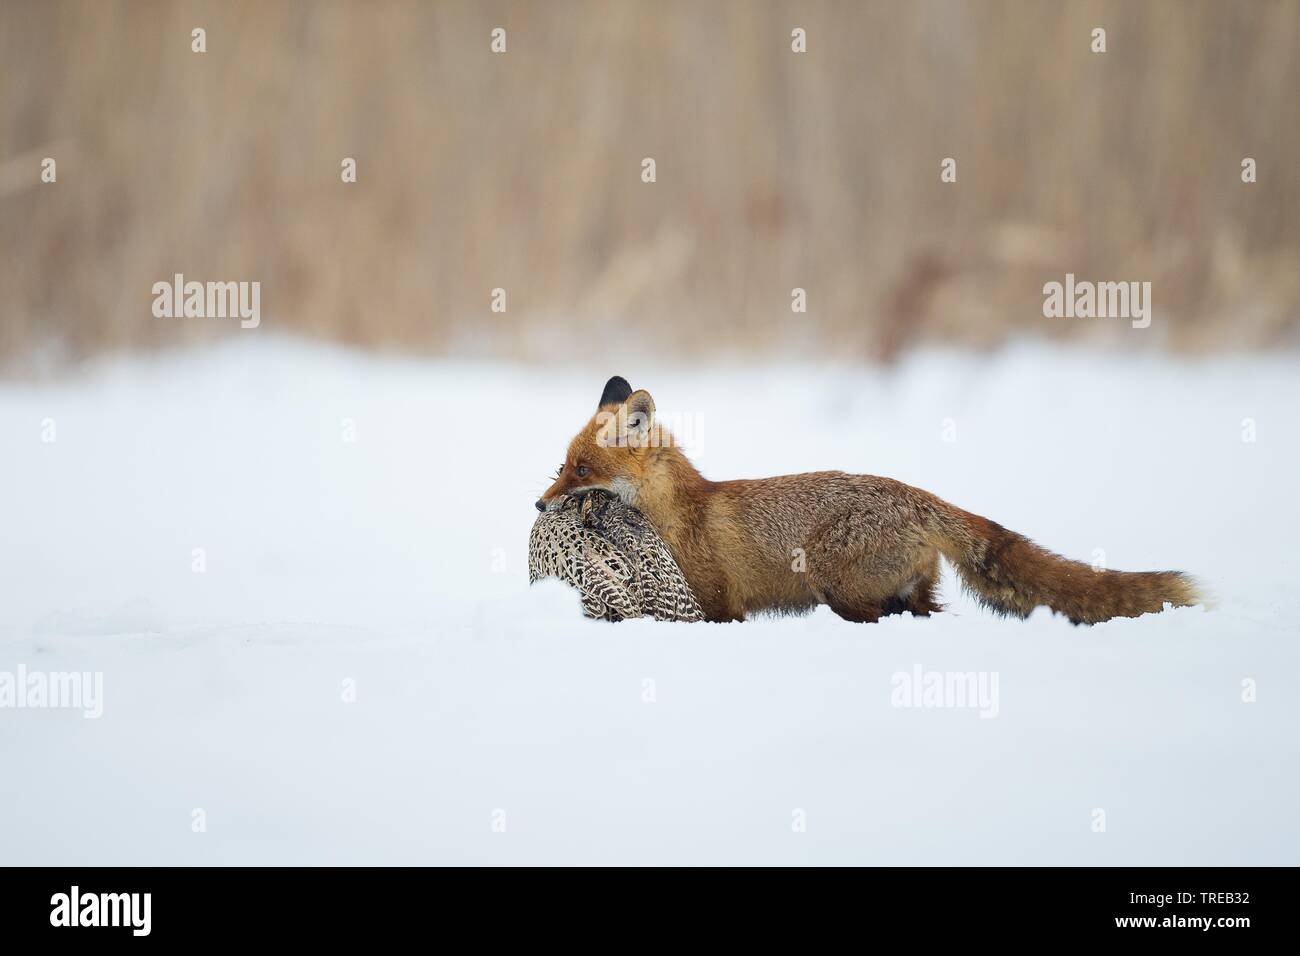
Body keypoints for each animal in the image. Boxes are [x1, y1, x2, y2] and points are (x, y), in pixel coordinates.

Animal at [537, 376, 1202, 625]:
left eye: (583, 470)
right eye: (560, 467)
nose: (540, 507)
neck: (678, 516)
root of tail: (917, 495)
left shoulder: (719, 605)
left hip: (837, 584)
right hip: (906, 592)